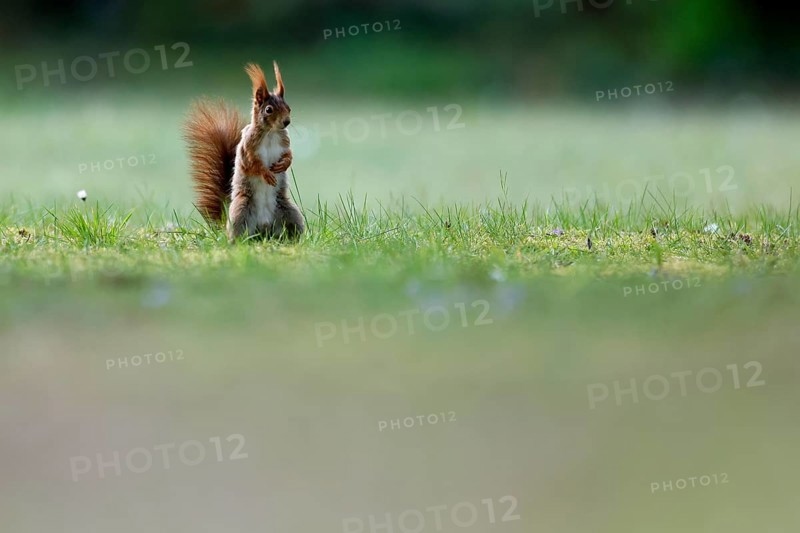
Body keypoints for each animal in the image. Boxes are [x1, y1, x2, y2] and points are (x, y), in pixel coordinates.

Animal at [183, 61, 304, 241]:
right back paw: (238, 241)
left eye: (289, 108)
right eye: (269, 109)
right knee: (239, 231)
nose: (286, 122)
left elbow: (288, 154)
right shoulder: (247, 147)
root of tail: (264, 229)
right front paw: (266, 174)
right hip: (241, 211)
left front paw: (284, 164)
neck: (271, 133)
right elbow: (252, 165)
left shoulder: (284, 143)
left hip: (290, 213)